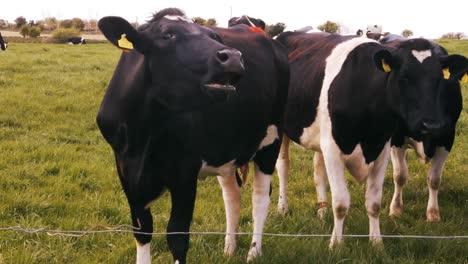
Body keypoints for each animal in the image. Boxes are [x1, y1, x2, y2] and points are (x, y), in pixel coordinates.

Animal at [98, 7, 288, 264]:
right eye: (167, 35)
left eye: (213, 36)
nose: (233, 56)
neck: (143, 137)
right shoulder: (126, 172)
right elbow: (142, 230)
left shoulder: (184, 174)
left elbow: (177, 237)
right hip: (226, 148)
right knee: (232, 195)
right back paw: (230, 247)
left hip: (271, 141)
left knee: (260, 197)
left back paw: (253, 252)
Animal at [272, 32, 466, 249]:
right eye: (404, 76)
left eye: (439, 79)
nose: (431, 124)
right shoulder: (334, 149)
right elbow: (341, 202)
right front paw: (336, 245)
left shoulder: (384, 147)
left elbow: (375, 202)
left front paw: (376, 243)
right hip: (283, 130)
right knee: (283, 167)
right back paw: (283, 208)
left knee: (318, 172)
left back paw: (322, 212)